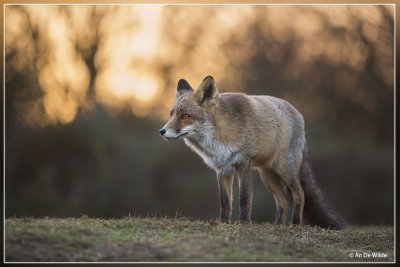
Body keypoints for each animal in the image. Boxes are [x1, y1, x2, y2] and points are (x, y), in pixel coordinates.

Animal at [158, 75, 346, 230]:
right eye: (171, 114)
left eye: (185, 116)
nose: (162, 131)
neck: (219, 138)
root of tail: (299, 114)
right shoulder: (222, 168)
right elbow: (225, 201)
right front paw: (223, 222)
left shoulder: (244, 162)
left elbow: (244, 197)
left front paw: (243, 222)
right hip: (267, 175)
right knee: (283, 201)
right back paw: (278, 226)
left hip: (285, 169)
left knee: (299, 194)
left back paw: (296, 224)